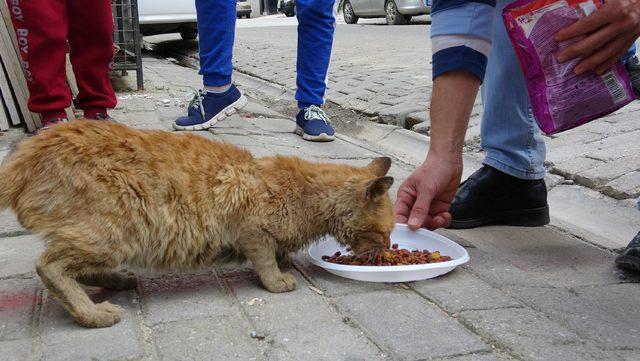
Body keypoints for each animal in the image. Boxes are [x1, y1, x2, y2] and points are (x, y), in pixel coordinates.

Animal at [0, 120, 396, 326]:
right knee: (51, 266)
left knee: (78, 267)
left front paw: (287, 261)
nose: (385, 251)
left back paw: (118, 281)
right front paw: (278, 278)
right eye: (385, 232)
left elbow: (279, 253)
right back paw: (92, 313)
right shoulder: (253, 231)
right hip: (113, 231)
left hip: (107, 239)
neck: (306, 195)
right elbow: (266, 262)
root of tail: (27, 151)